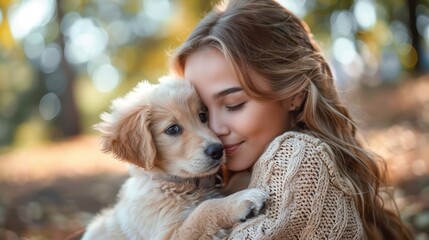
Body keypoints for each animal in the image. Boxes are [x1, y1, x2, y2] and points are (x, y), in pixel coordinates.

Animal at [81, 77, 266, 240]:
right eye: (172, 129)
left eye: (202, 116)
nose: (217, 150)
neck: (178, 185)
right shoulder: (167, 234)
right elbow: (203, 210)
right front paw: (239, 201)